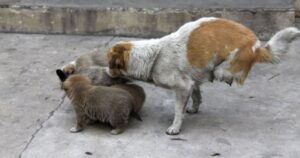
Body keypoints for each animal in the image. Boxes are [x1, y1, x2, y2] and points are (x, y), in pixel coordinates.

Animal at [106, 16, 300, 135]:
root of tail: (256, 46)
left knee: (222, 72)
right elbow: (197, 94)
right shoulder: (191, 81)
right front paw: (194, 108)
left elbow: (178, 111)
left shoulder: (182, 87)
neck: (155, 57)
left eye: (110, 63)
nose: (105, 71)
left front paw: (175, 128)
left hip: (225, 67)